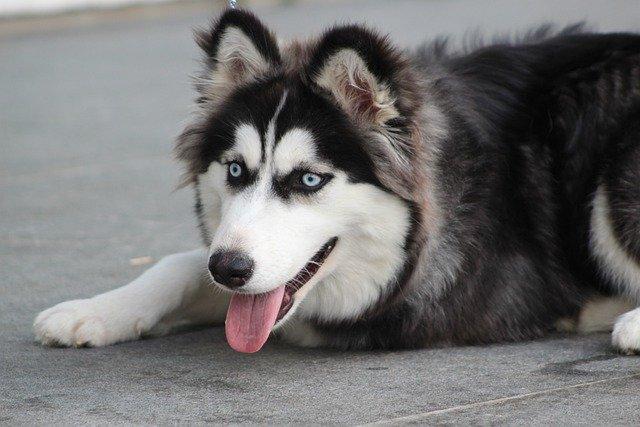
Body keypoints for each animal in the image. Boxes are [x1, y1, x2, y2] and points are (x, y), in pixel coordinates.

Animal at [33, 9, 640, 354]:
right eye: (235, 170)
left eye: (307, 179)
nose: (229, 268)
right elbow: (179, 265)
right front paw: (94, 311)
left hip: (612, 174)